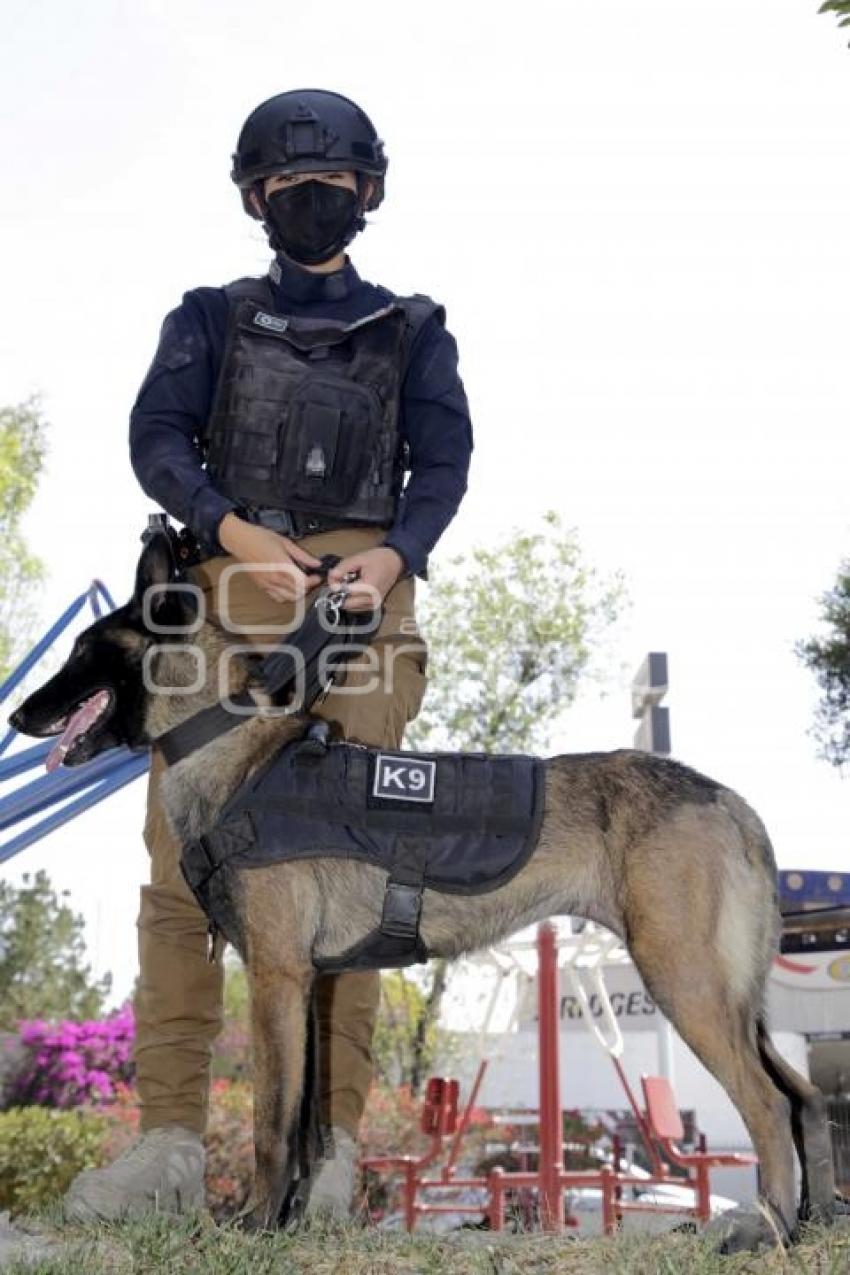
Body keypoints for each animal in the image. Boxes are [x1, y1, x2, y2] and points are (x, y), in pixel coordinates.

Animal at [9, 532, 841, 1249]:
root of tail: (729, 800)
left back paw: (766, 1228)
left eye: (82, 650)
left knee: (769, 1103)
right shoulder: (310, 987)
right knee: (806, 1094)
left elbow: (272, 1119)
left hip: (685, 981)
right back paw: (812, 1221)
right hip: (733, 1002)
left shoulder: (276, 977)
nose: (15, 712)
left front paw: (252, 1224)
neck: (230, 747)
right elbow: (306, 1121)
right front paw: (288, 1225)